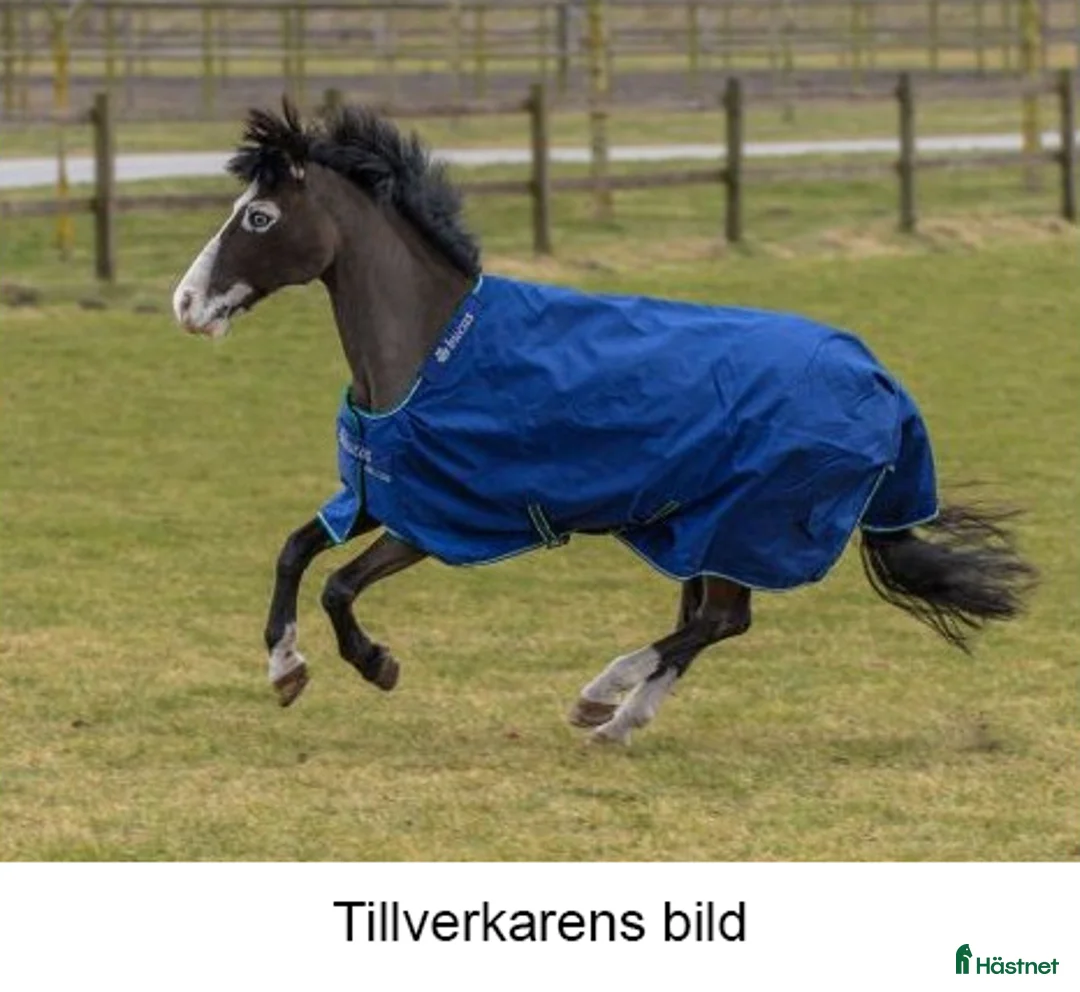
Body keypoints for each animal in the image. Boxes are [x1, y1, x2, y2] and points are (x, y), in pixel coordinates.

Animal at [171, 101, 1037, 745]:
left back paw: (602, 693)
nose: (185, 303)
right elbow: (294, 553)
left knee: (719, 619)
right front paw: (285, 669)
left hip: (745, 523)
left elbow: (340, 587)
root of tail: (882, 381)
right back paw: (618, 720)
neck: (434, 350)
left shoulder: (439, 522)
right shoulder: (380, 494)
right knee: (713, 622)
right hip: (704, 526)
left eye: (257, 218)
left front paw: (375, 663)